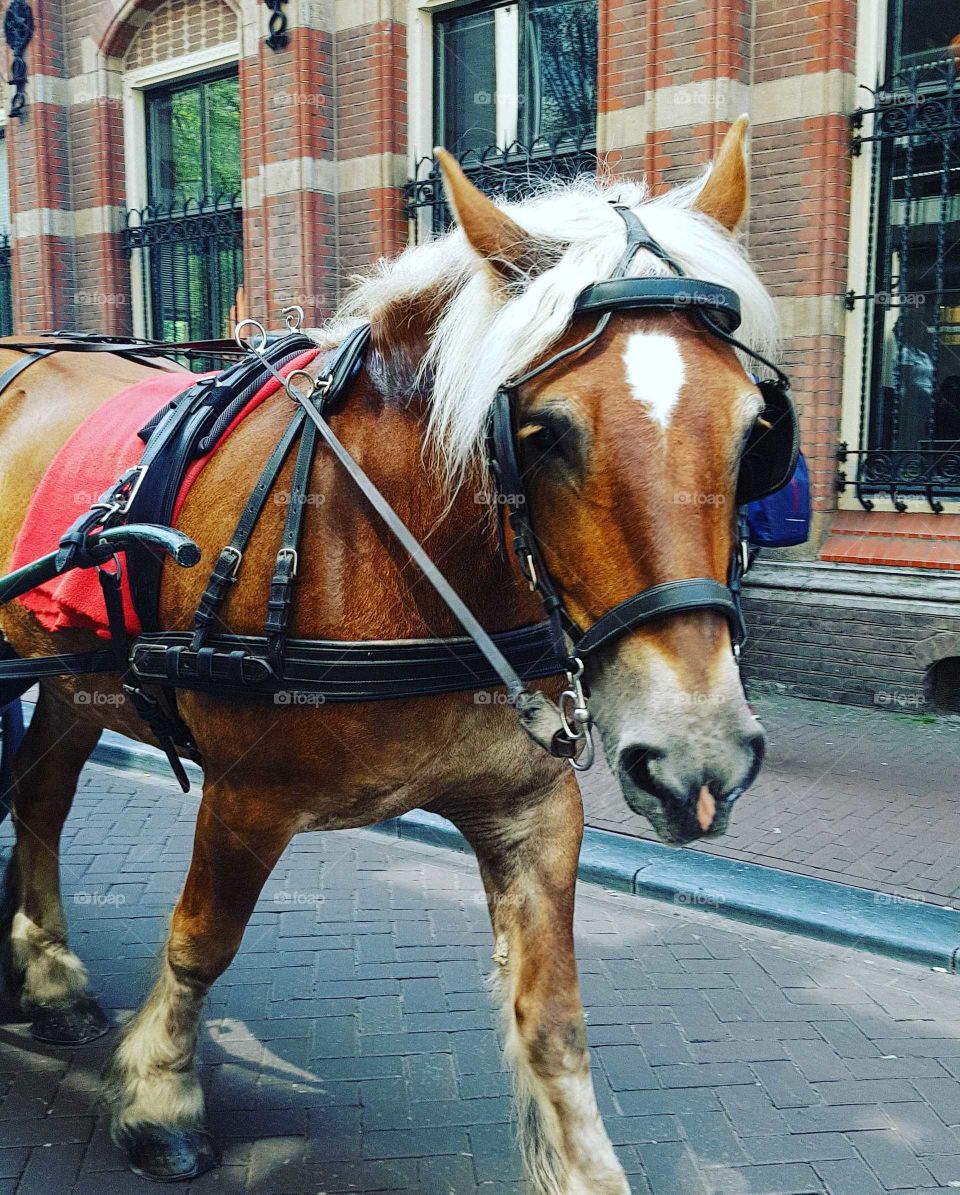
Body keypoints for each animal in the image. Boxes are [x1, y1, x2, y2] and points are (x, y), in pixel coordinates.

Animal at [0, 116, 779, 1192]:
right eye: (544, 432)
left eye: (756, 430)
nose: (698, 756)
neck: (390, 547)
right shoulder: (246, 796)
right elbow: (201, 942)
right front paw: (160, 1099)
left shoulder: (532, 807)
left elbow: (556, 1021)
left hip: (78, 684)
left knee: (38, 797)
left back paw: (46, 977)